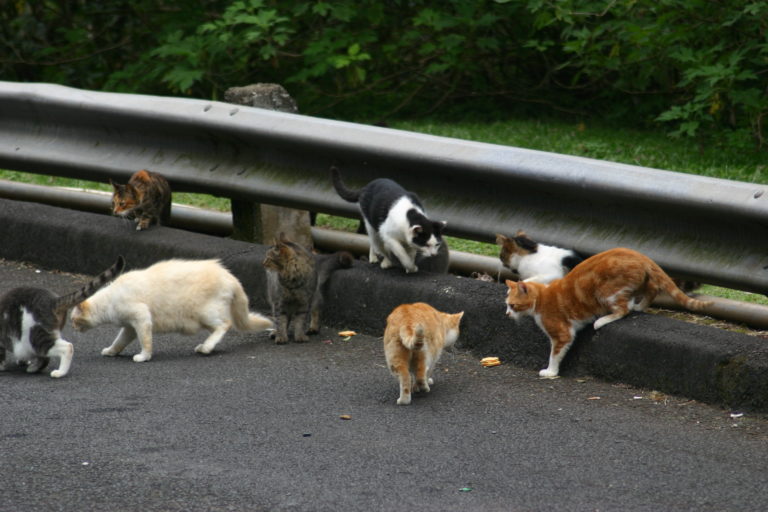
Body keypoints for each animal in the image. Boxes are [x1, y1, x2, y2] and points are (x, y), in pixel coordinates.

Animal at [70, 258, 272, 362]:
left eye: (73, 320)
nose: (73, 329)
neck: (110, 299)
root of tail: (230, 276)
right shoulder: (129, 327)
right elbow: (119, 341)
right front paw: (112, 351)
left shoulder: (142, 318)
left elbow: (146, 341)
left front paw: (144, 356)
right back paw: (206, 346)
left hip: (205, 313)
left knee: (225, 324)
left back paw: (206, 347)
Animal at [504, 246, 712, 378]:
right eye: (506, 305)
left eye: (512, 305)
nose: (507, 314)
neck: (542, 297)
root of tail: (640, 255)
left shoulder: (562, 332)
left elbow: (555, 354)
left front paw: (550, 372)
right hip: (639, 283)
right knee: (651, 289)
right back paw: (639, 306)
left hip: (607, 291)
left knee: (623, 309)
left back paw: (602, 320)